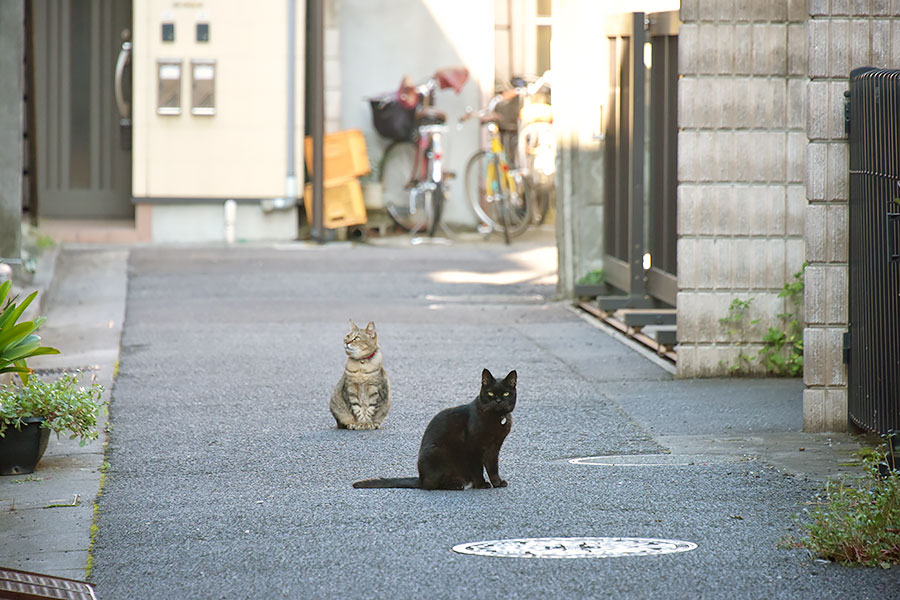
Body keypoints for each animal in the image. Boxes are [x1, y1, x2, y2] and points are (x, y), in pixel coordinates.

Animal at [354, 368, 516, 490]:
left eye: (506, 393)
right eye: (490, 393)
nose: (498, 400)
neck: (497, 418)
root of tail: (420, 478)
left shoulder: (494, 448)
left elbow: (493, 467)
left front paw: (497, 483)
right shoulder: (474, 447)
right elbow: (478, 468)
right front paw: (481, 485)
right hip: (437, 452)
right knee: (430, 485)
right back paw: (455, 485)